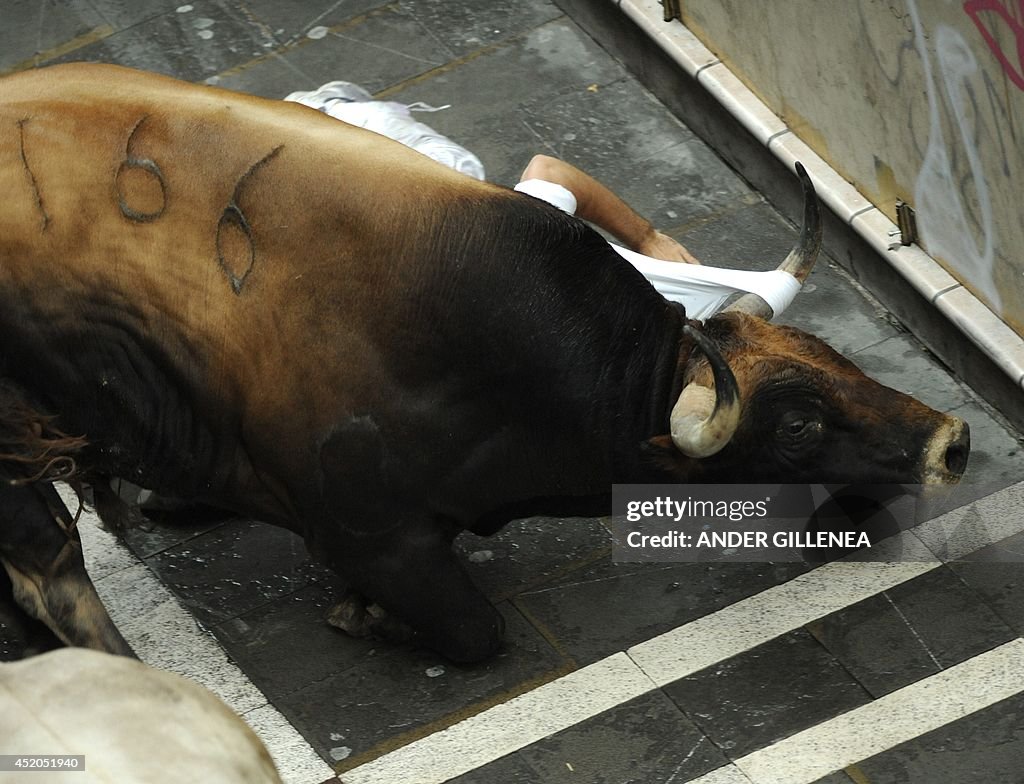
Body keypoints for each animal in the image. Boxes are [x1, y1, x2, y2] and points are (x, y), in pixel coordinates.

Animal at [0, 64, 966, 663]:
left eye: (835, 356)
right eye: (797, 423)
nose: (951, 440)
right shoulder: (372, 533)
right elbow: (474, 632)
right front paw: (359, 615)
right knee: (52, 564)